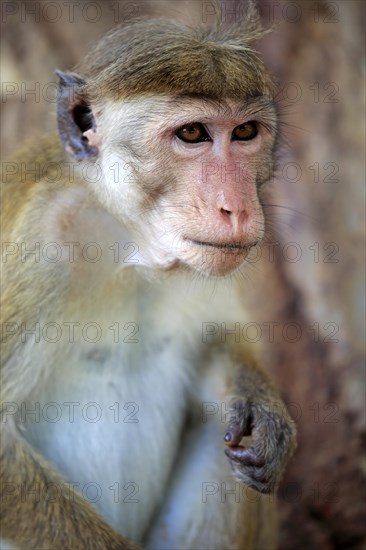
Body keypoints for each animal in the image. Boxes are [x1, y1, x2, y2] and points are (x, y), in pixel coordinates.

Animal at [0, 5, 298, 550]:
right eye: (193, 134)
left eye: (245, 132)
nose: (237, 208)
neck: (129, 240)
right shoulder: (39, 244)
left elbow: (218, 344)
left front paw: (261, 406)